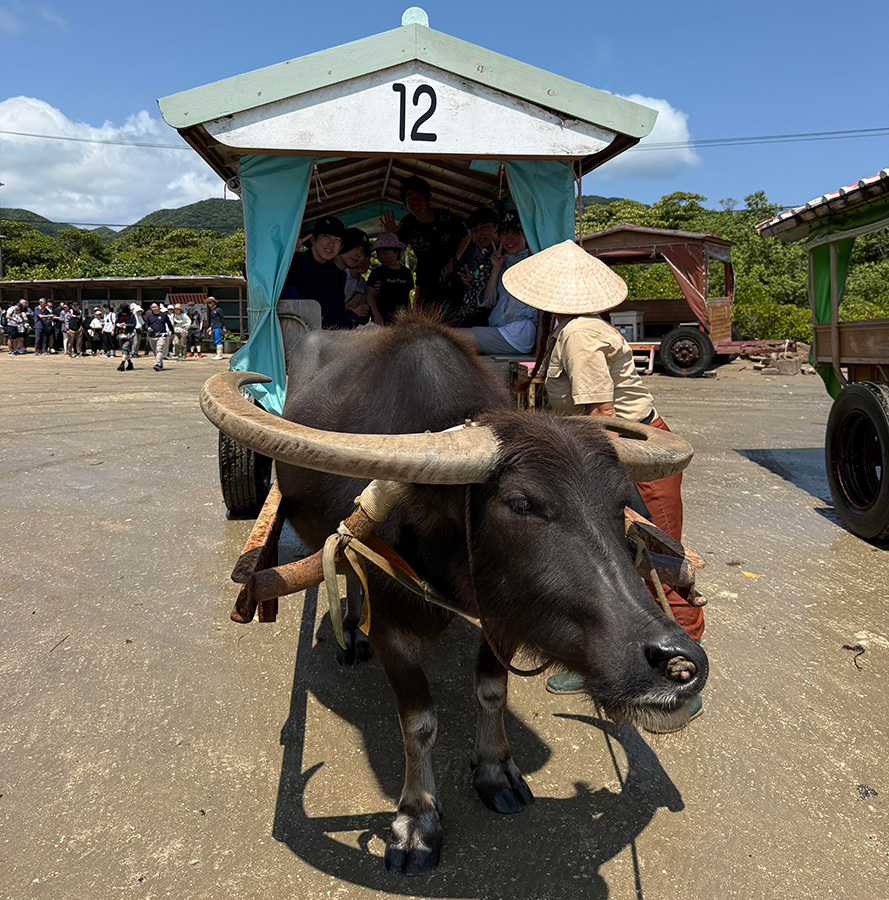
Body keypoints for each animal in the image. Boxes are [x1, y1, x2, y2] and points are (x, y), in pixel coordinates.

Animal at [201, 311, 708, 877]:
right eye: (522, 504)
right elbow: (419, 722)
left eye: (623, 505)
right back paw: (351, 636)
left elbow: (491, 690)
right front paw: (417, 822)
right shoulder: (394, 625)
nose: (676, 662)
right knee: (345, 564)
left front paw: (495, 771)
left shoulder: (499, 614)